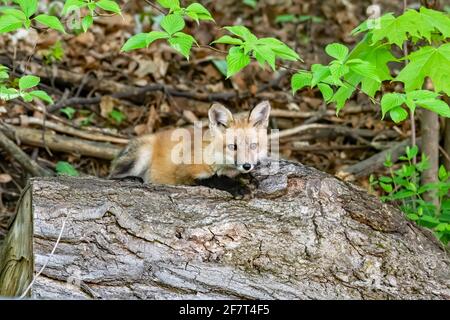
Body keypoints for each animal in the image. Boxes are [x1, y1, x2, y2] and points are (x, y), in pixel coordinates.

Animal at [109, 100, 270, 188]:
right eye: (233, 147)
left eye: (253, 146)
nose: (247, 166)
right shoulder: (183, 174)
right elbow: (215, 180)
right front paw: (239, 188)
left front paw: (249, 178)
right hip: (142, 155)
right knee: (111, 177)